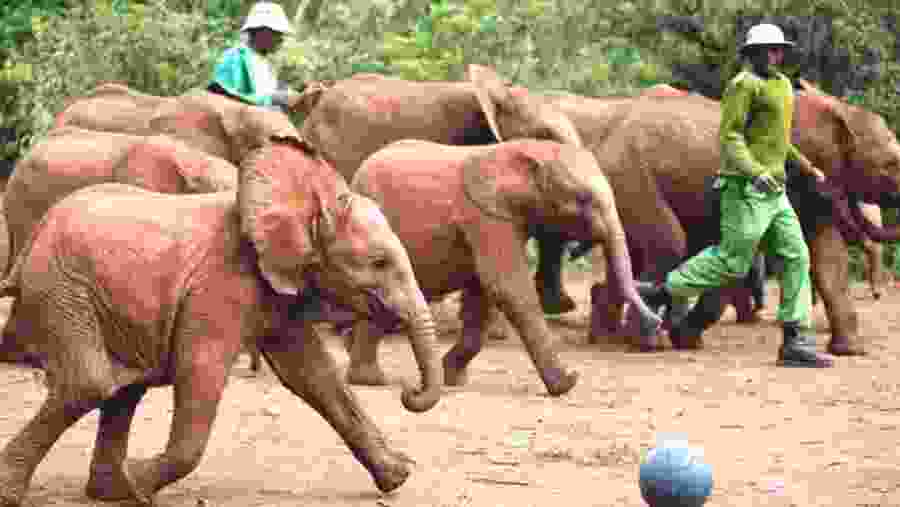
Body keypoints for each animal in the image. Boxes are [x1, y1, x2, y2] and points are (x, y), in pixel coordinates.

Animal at [0, 135, 443, 506]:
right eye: (379, 262)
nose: (409, 393)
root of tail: (33, 240)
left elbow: (314, 376)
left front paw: (399, 476)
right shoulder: (219, 286)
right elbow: (201, 370)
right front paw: (141, 478)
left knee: (123, 388)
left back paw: (113, 491)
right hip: (62, 288)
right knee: (90, 383)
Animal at [343, 138, 662, 393]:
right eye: (583, 199)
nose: (658, 322)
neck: (532, 151)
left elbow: (482, 296)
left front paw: (453, 379)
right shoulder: (486, 217)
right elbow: (507, 287)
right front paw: (566, 384)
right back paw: (369, 381)